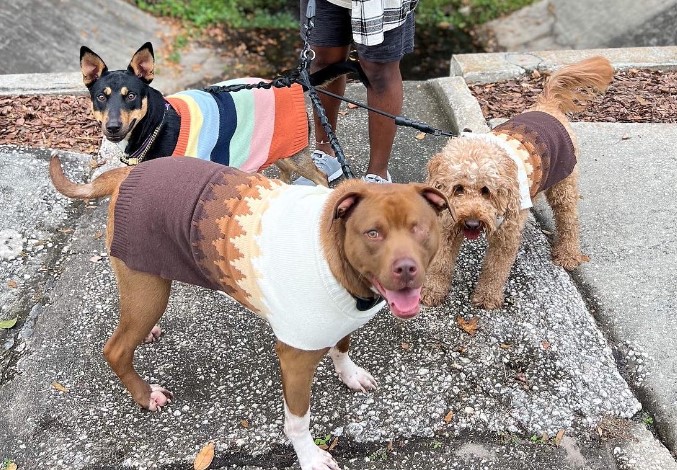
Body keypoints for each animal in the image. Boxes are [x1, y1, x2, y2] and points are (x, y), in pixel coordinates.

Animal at [50, 155, 452, 470]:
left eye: (420, 228)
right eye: (372, 233)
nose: (406, 268)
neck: (336, 255)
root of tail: (129, 172)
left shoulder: (339, 319)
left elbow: (342, 346)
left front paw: (349, 374)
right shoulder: (295, 359)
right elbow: (298, 421)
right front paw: (309, 457)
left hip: (144, 285)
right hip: (149, 292)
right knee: (116, 348)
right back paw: (144, 394)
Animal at [80, 41, 364, 185]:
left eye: (131, 96)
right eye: (101, 97)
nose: (112, 127)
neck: (155, 126)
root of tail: (291, 83)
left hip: (293, 152)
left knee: (321, 176)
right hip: (277, 146)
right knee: (285, 173)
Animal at [422, 57, 612, 310]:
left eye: (486, 191)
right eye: (458, 189)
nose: (472, 223)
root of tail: (546, 104)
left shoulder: (506, 234)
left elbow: (495, 268)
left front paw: (487, 297)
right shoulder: (448, 224)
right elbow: (440, 262)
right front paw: (432, 291)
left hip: (564, 184)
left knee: (569, 220)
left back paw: (568, 255)